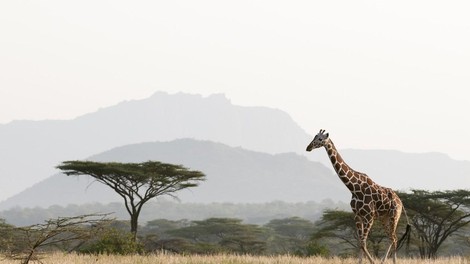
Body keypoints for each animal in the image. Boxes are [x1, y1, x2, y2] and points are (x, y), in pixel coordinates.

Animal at [304, 130, 408, 264]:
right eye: (315, 136)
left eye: (320, 139)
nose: (308, 147)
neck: (354, 188)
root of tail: (400, 201)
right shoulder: (358, 215)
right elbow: (360, 243)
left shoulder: (369, 217)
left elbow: (363, 242)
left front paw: (372, 261)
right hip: (384, 218)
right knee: (391, 238)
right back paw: (383, 261)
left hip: (394, 216)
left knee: (394, 238)